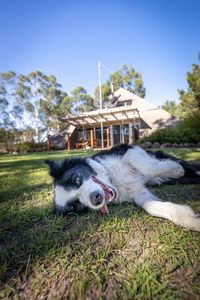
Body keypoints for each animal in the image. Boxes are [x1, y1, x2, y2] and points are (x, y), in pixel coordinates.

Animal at [45, 144, 200, 231]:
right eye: (76, 204)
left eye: (76, 179)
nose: (96, 199)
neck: (114, 180)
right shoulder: (138, 193)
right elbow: (151, 207)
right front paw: (190, 219)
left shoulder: (129, 149)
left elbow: (146, 166)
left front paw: (175, 169)